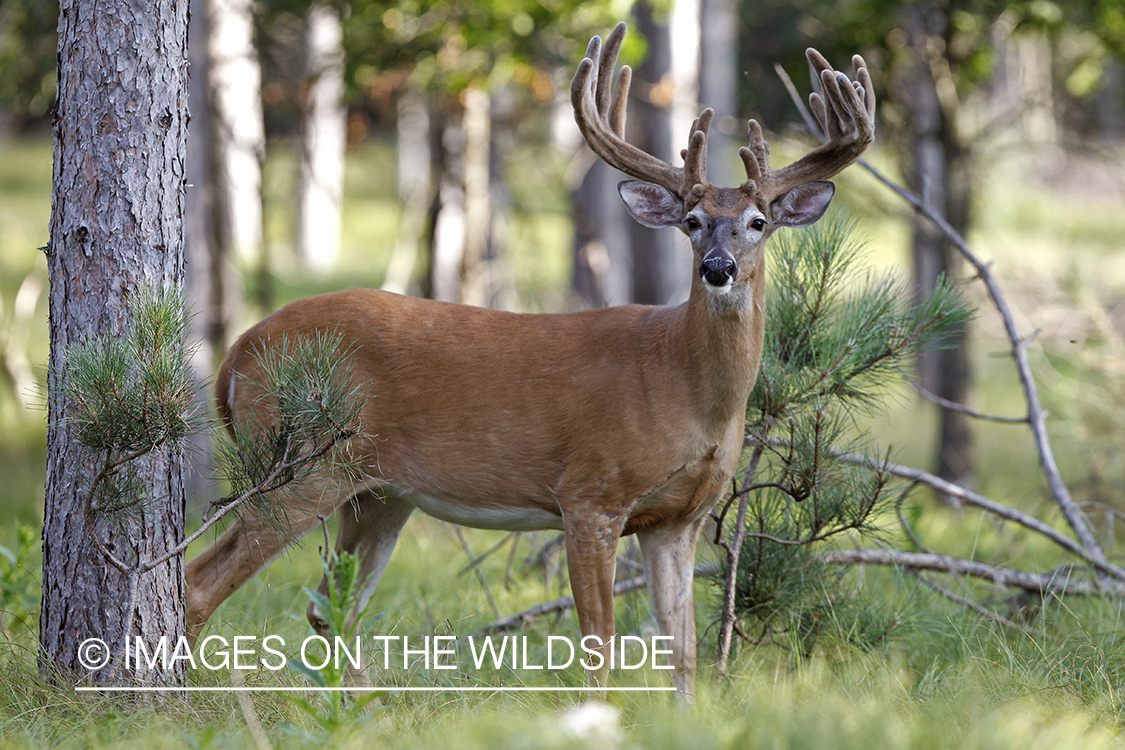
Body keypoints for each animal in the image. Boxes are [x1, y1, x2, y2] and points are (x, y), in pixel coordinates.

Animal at [184, 20, 873, 697]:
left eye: (758, 222)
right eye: (693, 221)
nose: (718, 268)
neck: (682, 384)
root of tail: (236, 352)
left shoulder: (679, 519)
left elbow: (683, 653)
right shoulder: (590, 491)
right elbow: (600, 642)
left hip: (378, 492)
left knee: (329, 608)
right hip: (301, 465)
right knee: (199, 582)